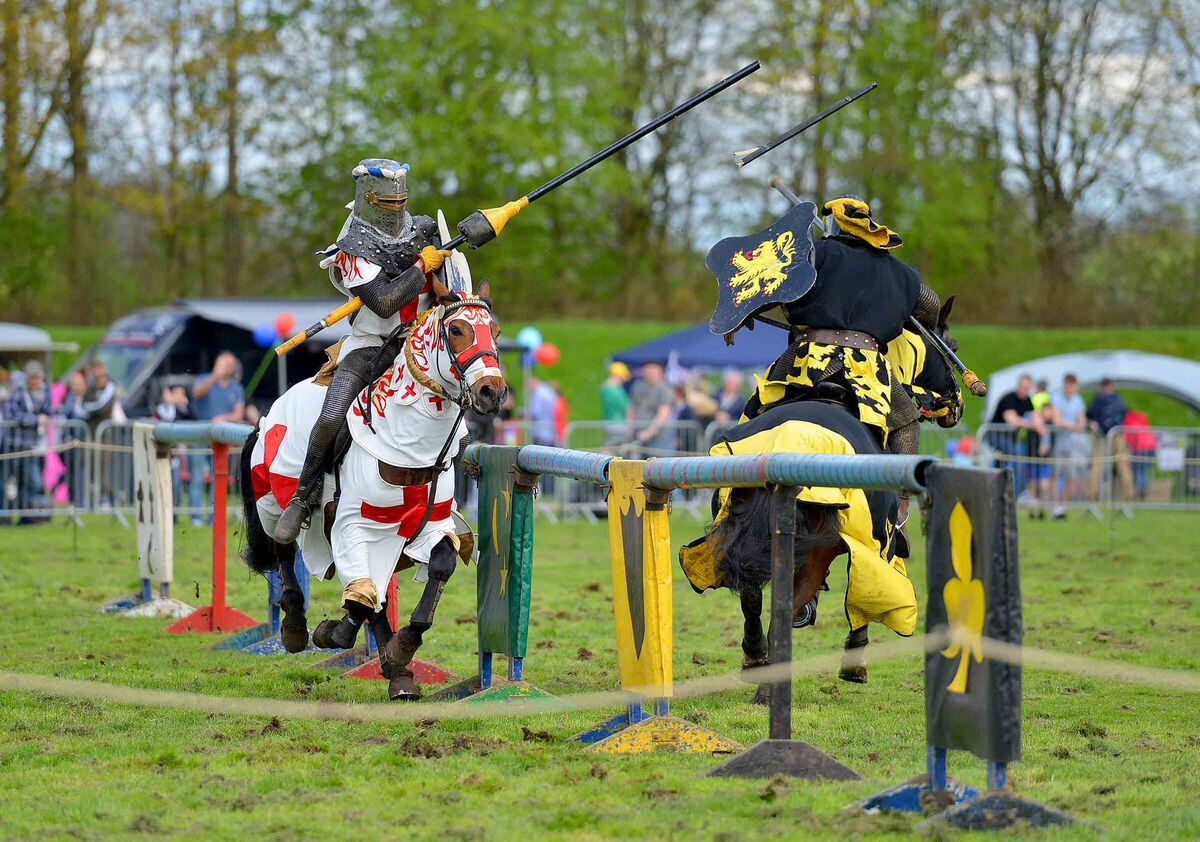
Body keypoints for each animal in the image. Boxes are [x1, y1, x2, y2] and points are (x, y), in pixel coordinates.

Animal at [241, 278, 504, 700]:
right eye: (457, 330)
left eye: (494, 331)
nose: (491, 392)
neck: (404, 439)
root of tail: (266, 415)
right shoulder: (350, 525)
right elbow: (364, 597)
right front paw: (335, 634)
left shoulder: (424, 526)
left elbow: (440, 563)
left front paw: (402, 649)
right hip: (271, 505)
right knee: (284, 551)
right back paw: (296, 626)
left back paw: (397, 674)